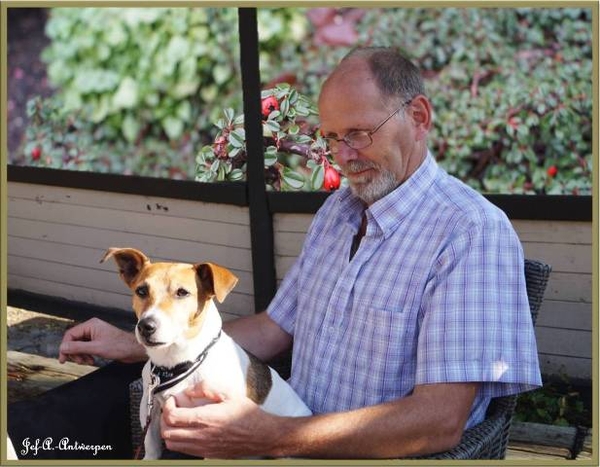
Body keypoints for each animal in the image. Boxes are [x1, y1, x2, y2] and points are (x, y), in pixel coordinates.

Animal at [100, 249, 310, 460]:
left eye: (182, 292)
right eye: (141, 291)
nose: (145, 326)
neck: (178, 362)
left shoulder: (215, 430)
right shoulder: (149, 407)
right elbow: (151, 445)